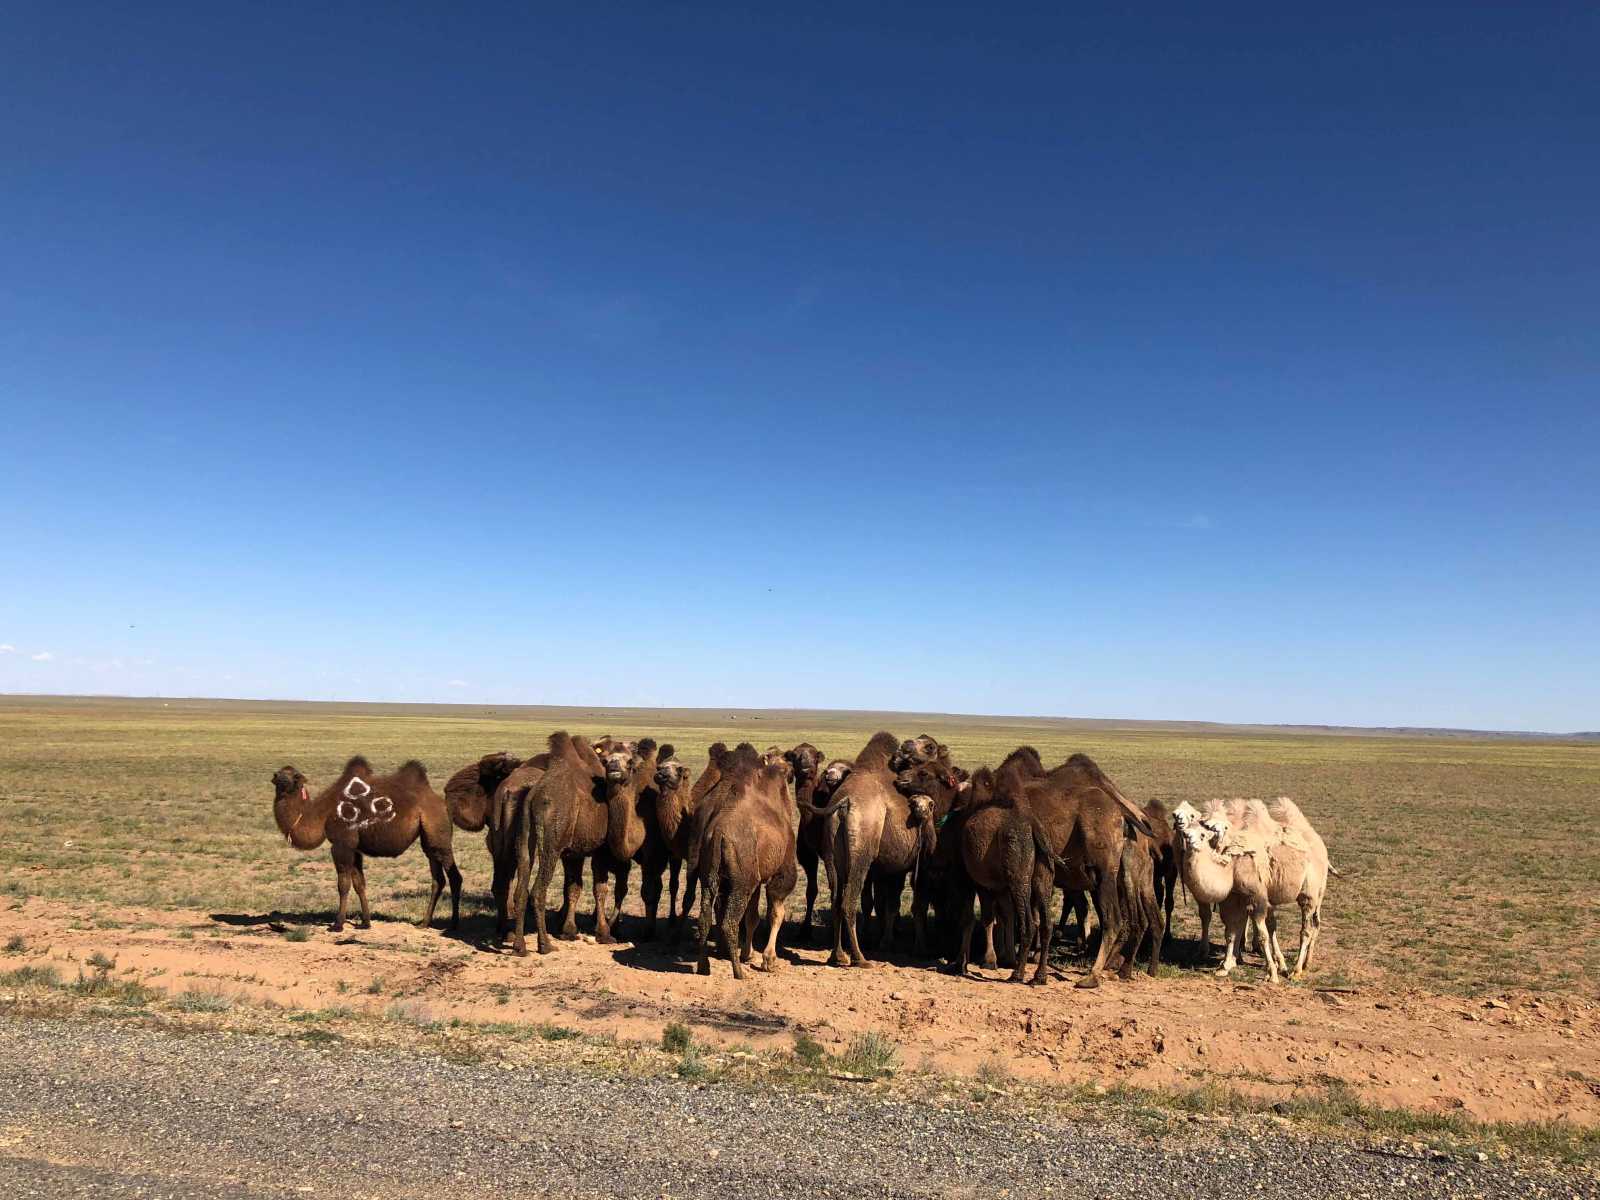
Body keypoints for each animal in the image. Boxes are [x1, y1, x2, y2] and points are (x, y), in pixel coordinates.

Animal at [272, 755, 464, 934]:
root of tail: (442, 803)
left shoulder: (342, 844)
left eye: (295, 776)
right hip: (429, 840)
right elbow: (359, 884)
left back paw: (453, 925)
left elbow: (343, 885)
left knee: (454, 877)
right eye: (279, 772)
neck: (322, 814)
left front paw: (338, 925)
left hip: (438, 833)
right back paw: (424, 923)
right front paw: (365, 923)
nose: (278, 777)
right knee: (437, 879)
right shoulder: (355, 848)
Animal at [1171, 800, 1331, 985]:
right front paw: (1225, 966)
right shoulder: (1233, 898)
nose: (1189, 840)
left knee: (1307, 928)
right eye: (1186, 832)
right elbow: (1231, 931)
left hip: (1311, 892)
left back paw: (1296, 970)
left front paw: (1272, 973)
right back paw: (1304, 964)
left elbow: (1262, 935)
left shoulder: (1257, 896)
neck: (1232, 866)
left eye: (1203, 835)